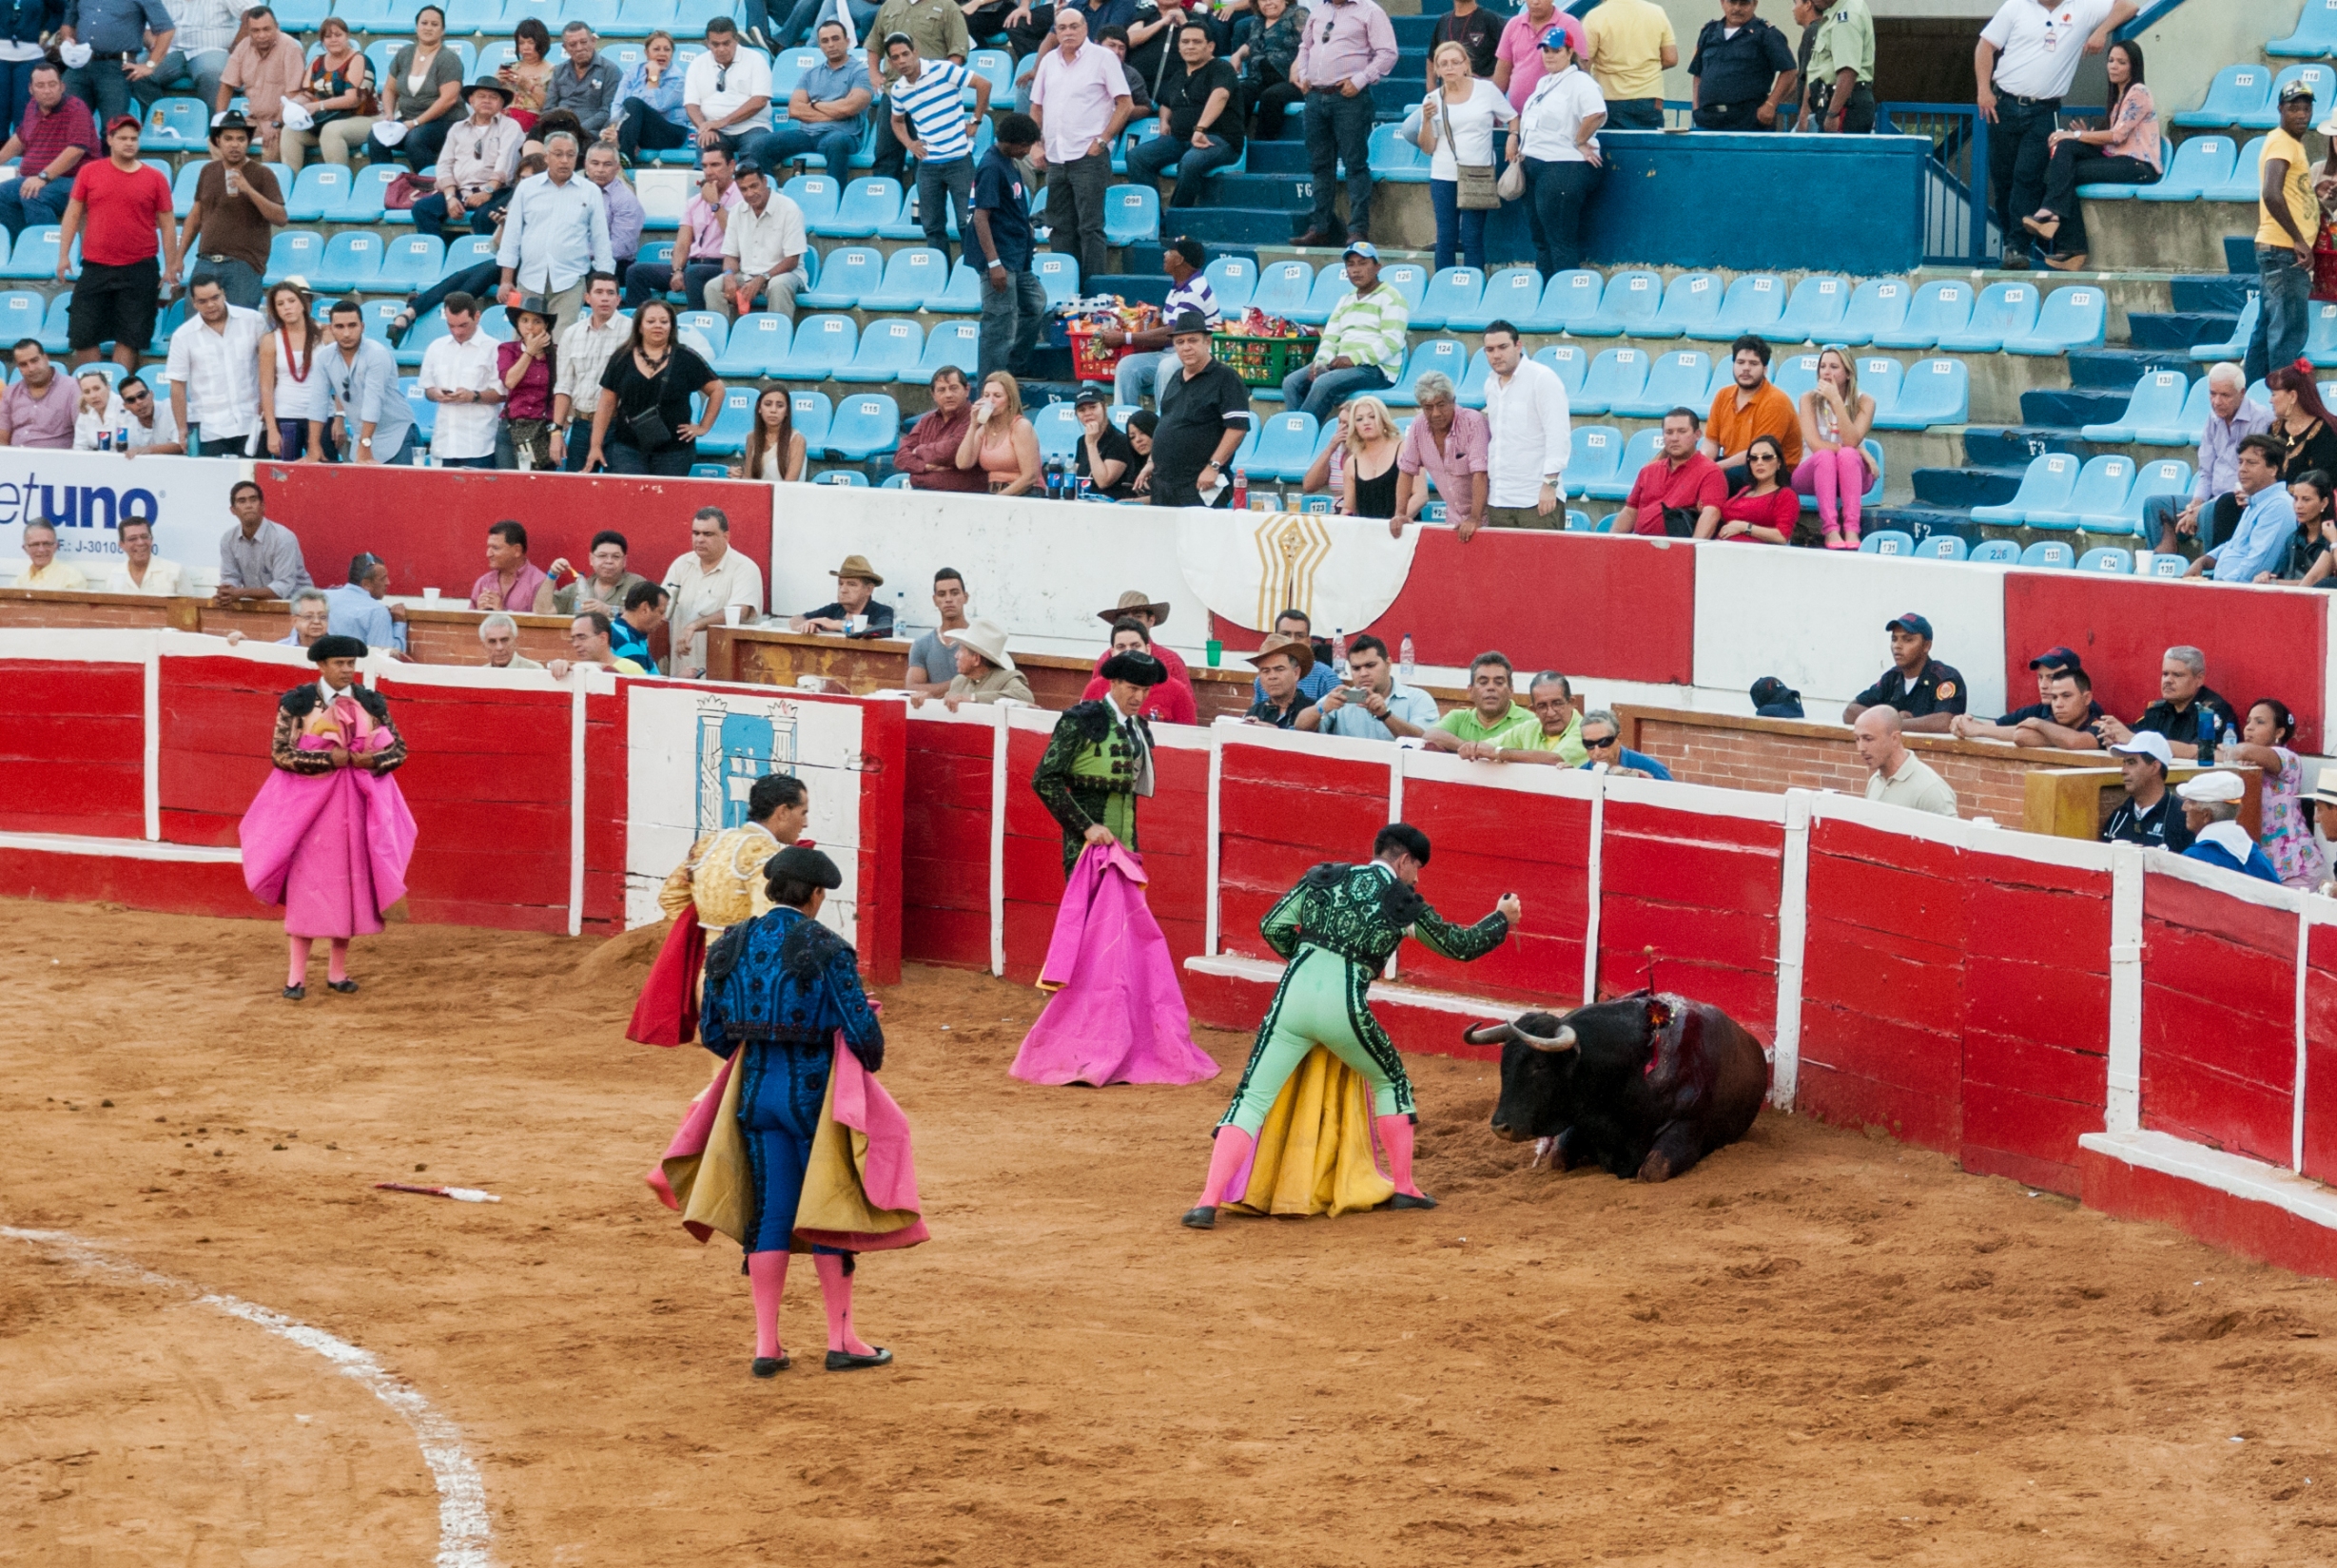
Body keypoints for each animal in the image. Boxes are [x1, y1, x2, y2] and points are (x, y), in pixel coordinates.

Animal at [1476, 999, 1766, 1182]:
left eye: (1539, 1065)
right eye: (1504, 1061)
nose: (1500, 1127)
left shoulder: (1688, 1125)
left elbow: (1652, 1170)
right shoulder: (1581, 1117)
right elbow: (1558, 1158)